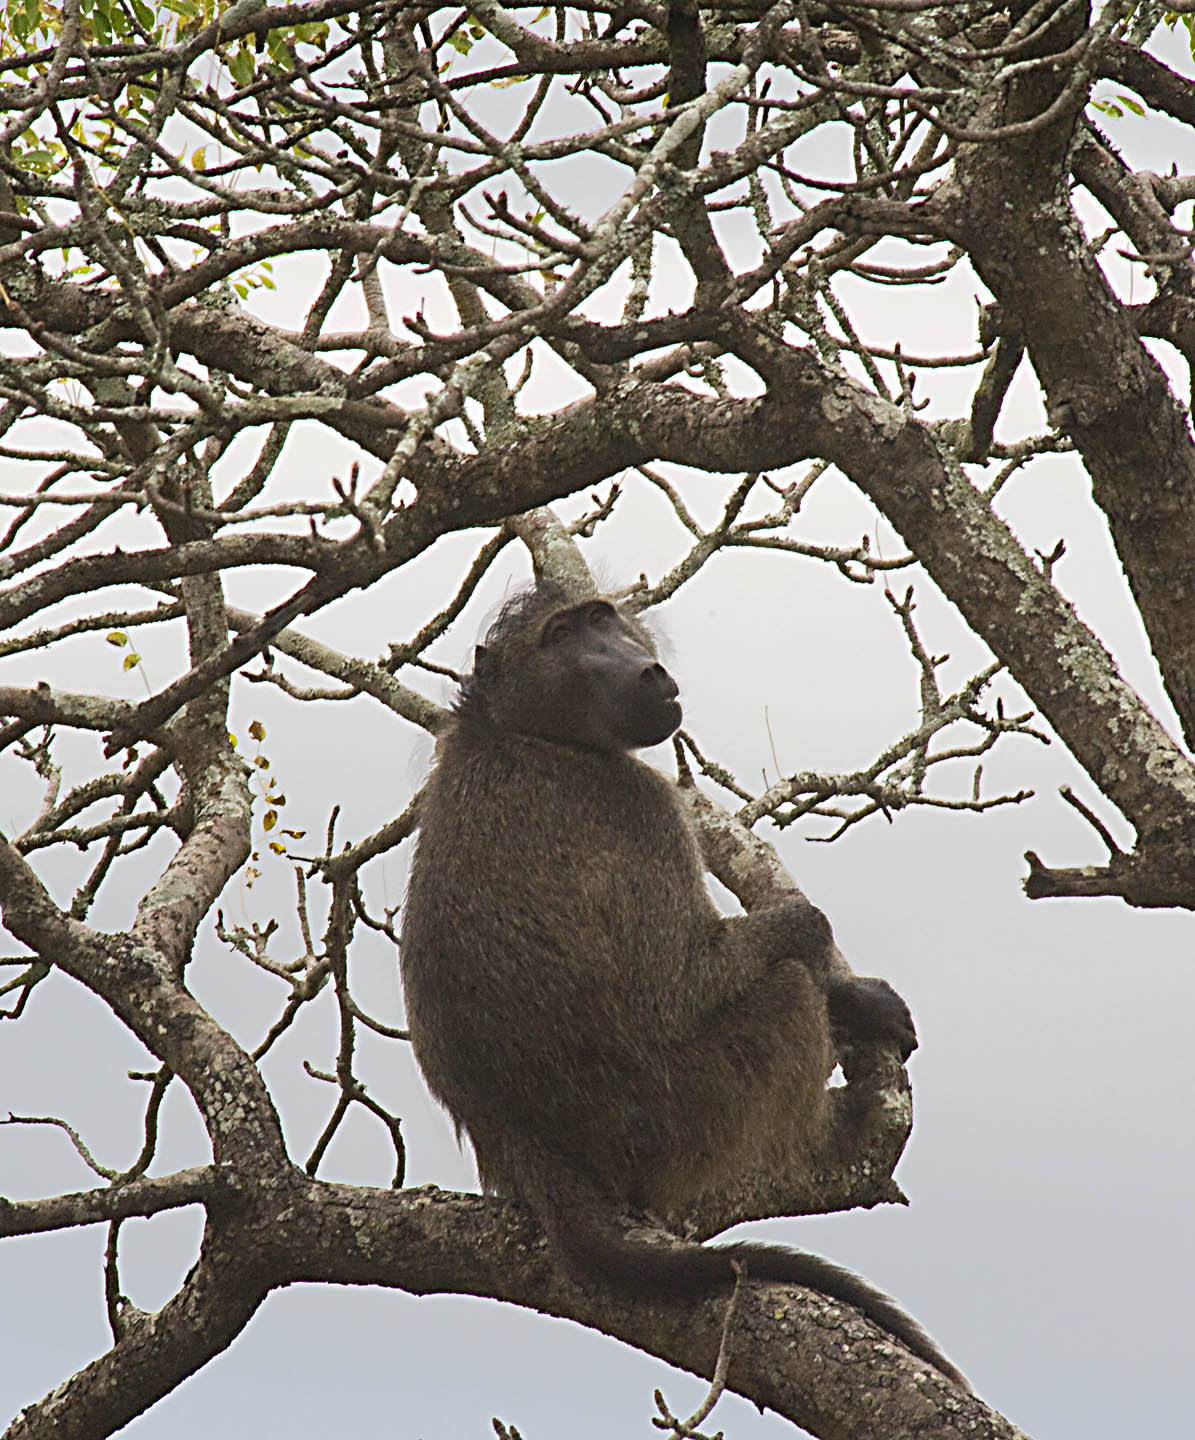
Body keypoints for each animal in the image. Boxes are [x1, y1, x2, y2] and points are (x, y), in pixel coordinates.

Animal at [399, 585, 967, 1388]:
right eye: (560, 635)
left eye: (600, 618)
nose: (644, 669)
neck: (515, 730)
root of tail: (527, 1144)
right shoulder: (641, 806)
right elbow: (679, 981)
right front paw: (852, 996)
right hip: (672, 1119)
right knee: (785, 992)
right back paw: (840, 1120)